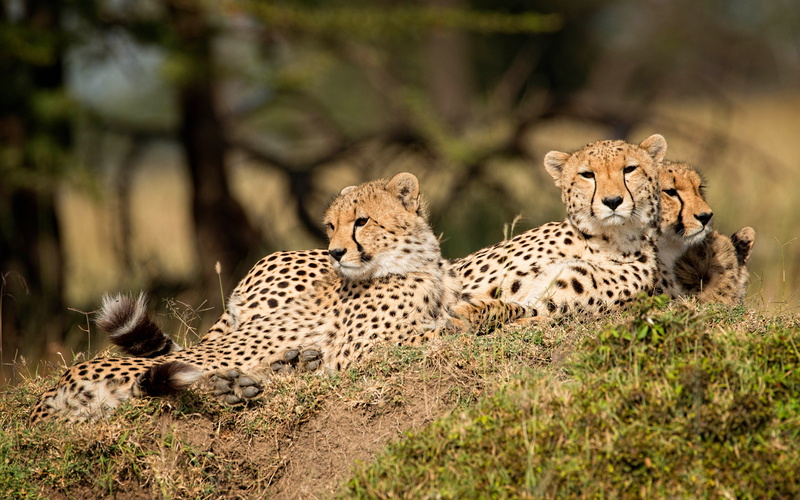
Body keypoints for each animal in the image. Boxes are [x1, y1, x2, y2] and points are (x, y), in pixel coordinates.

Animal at [30, 172, 467, 423]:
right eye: (331, 226)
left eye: (361, 221)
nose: (336, 252)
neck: (412, 263)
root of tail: (58, 387)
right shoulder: (356, 351)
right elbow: (438, 333)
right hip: (155, 371)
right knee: (165, 389)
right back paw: (235, 385)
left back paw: (285, 367)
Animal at [451, 134, 668, 324]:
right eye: (587, 175)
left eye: (630, 169)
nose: (613, 201)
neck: (605, 242)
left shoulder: (549, 304)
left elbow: (516, 307)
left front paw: (466, 314)